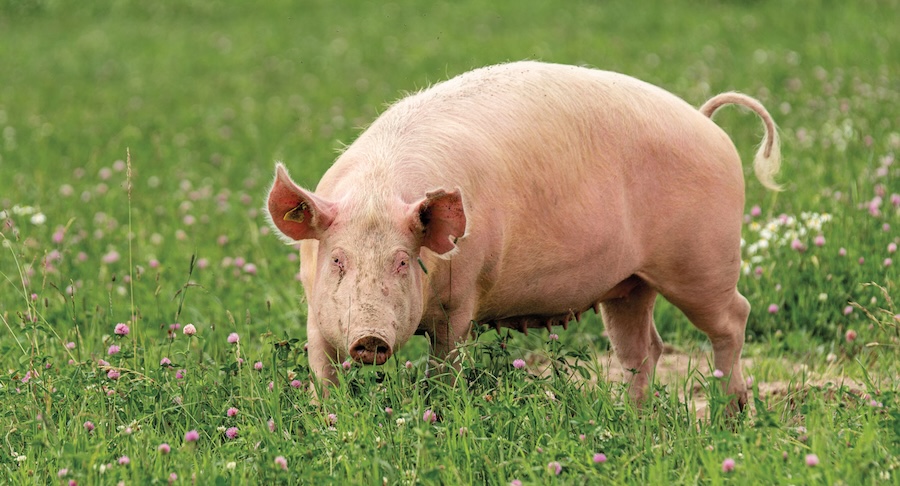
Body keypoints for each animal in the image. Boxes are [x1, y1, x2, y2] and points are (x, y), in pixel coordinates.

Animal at [266, 61, 781, 407]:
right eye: (338, 259)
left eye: (402, 260)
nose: (370, 338)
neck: (377, 191)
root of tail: (706, 121)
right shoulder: (313, 307)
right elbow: (322, 369)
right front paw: (333, 419)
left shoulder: (461, 299)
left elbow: (445, 365)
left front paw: (440, 411)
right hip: (630, 283)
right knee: (643, 349)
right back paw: (634, 418)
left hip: (703, 260)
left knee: (733, 319)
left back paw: (730, 416)